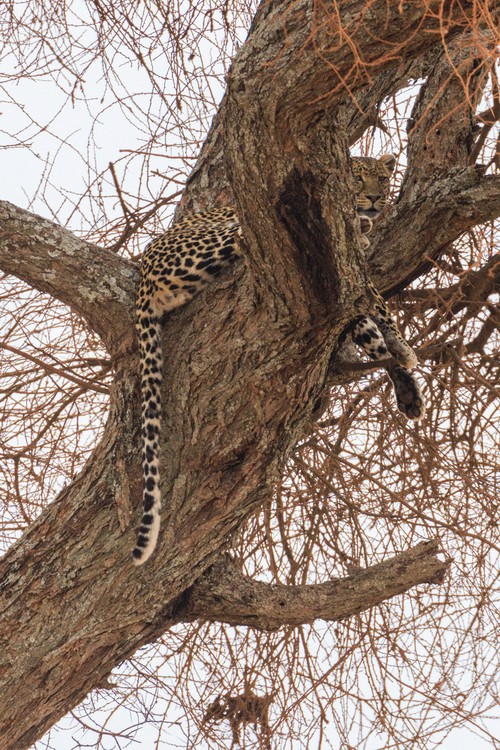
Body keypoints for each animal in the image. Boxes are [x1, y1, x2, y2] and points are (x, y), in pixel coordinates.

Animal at [132, 154, 425, 565]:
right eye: (357, 178)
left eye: (382, 179)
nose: (372, 198)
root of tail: (143, 271)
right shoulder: (348, 271)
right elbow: (377, 302)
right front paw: (402, 346)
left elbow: (371, 328)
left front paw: (408, 389)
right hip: (230, 229)